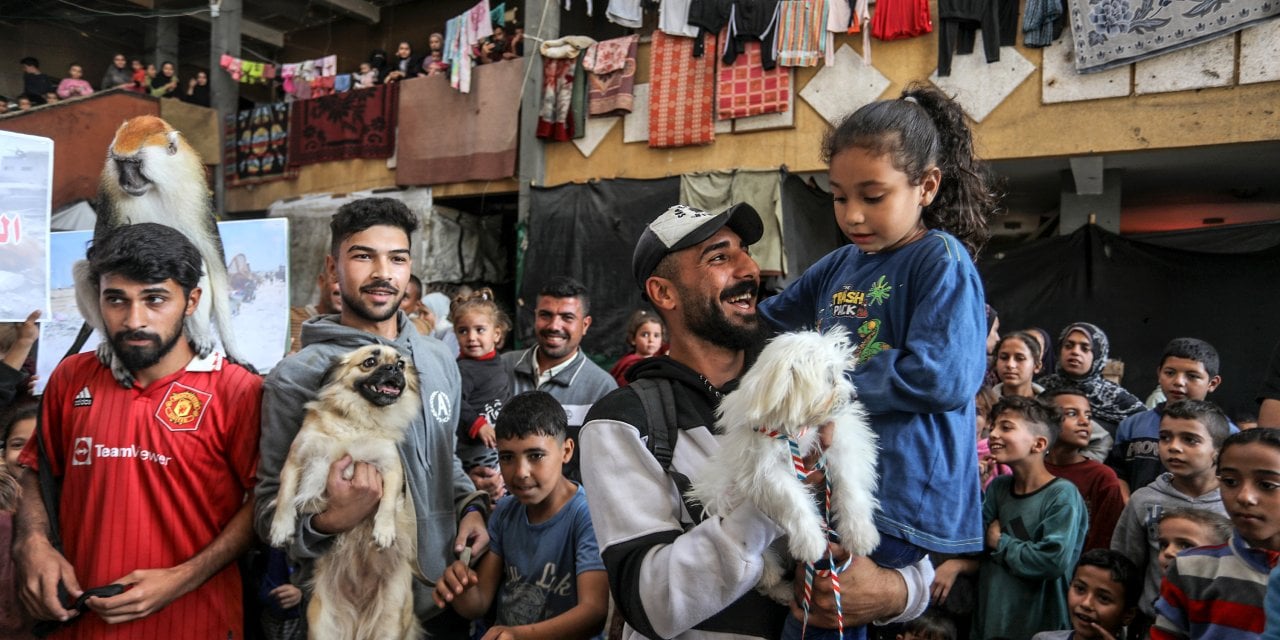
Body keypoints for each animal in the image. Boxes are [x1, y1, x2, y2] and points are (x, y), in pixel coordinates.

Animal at [268, 348, 419, 637]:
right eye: (370, 362)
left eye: (401, 364)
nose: (394, 369)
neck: (360, 419)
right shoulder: (295, 461)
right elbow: (285, 497)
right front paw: (281, 529)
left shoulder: (391, 468)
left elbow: (386, 505)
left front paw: (384, 532)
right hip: (323, 625)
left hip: (390, 622)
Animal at [691, 327, 880, 601]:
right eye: (829, 377)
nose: (854, 396)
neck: (795, 429)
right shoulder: (762, 468)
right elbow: (792, 499)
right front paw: (810, 541)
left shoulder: (840, 442)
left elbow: (849, 485)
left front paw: (860, 534)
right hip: (719, 494)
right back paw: (778, 583)